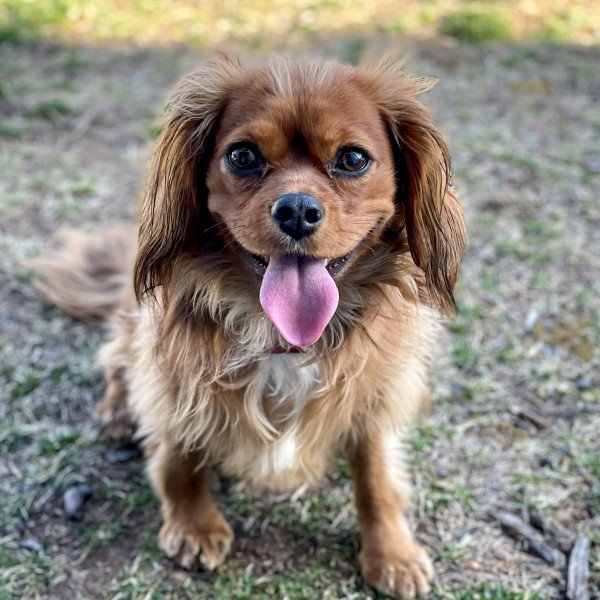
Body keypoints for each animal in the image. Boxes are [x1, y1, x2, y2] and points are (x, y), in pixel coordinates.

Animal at [30, 55, 466, 596]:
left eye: (352, 159)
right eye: (242, 156)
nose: (296, 210)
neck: (283, 337)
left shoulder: (375, 394)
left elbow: (377, 476)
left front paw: (392, 553)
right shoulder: (175, 376)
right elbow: (178, 455)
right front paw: (194, 526)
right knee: (116, 359)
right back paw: (117, 412)